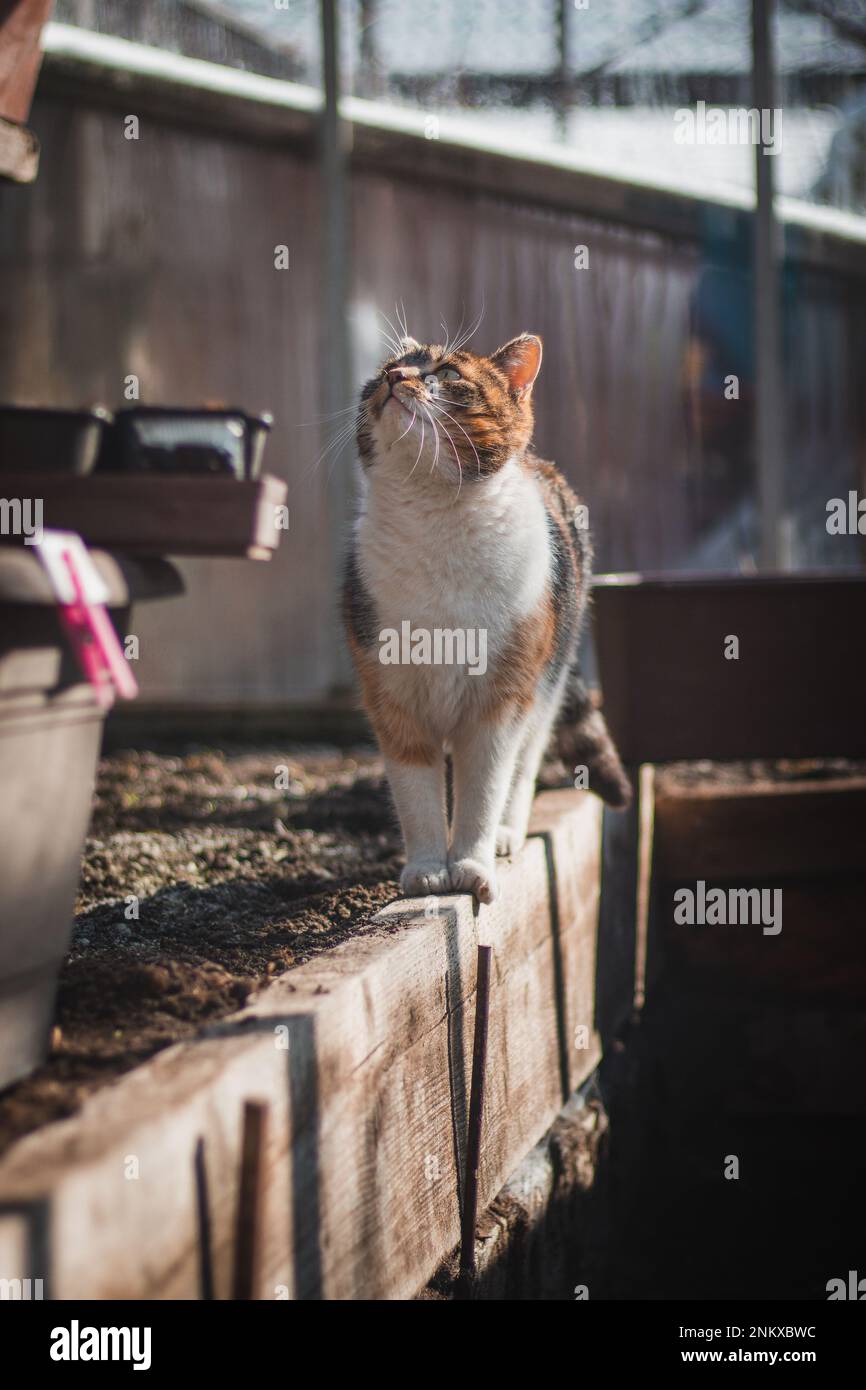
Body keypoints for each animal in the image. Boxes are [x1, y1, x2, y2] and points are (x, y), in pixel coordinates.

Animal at [341, 330, 633, 906]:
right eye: (386, 367)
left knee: (524, 763)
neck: (435, 522)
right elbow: (415, 788)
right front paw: (428, 870)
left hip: (548, 678)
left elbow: (486, 785)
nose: (395, 378)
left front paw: (472, 865)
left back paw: (504, 835)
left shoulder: (502, 698)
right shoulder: (393, 694)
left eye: (448, 374)